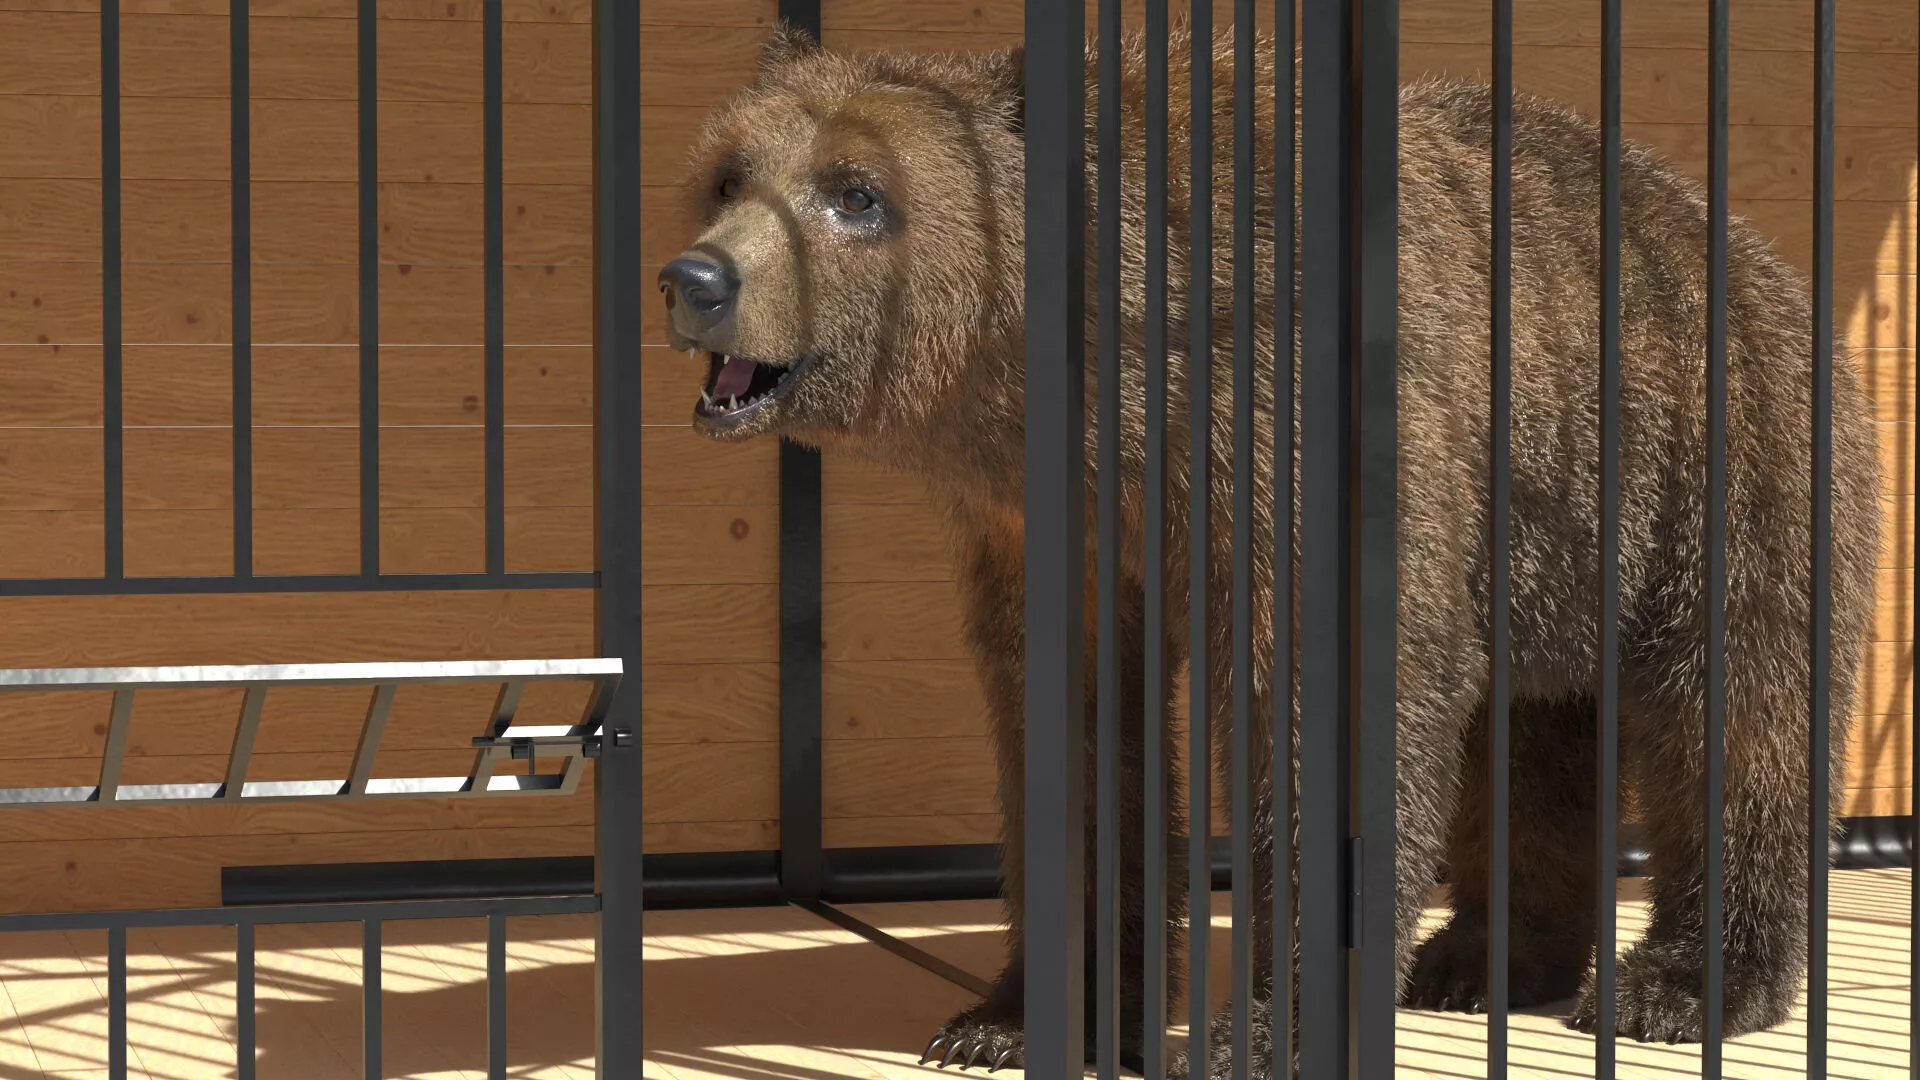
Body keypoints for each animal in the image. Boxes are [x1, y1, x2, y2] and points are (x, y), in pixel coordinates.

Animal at [656, 19, 1884, 1078]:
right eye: (728, 174)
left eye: (855, 193)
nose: (697, 280)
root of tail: (1744, 243)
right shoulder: (1053, 530)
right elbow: (1073, 736)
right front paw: (1009, 1018)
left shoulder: (1296, 452)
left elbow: (1321, 717)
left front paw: (1255, 1028)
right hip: (1552, 552)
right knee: (1537, 734)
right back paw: (1478, 962)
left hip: (1711, 474)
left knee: (1738, 715)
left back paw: (1677, 985)